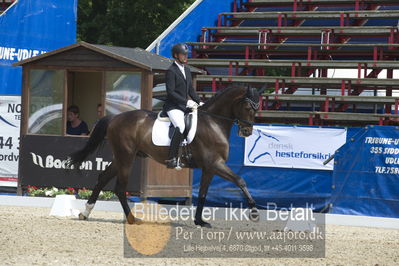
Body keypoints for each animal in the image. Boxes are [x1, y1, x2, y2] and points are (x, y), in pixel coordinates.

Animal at [69, 84, 262, 228]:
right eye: (247, 107)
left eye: (257, 108)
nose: (247, 132)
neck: (213, 123)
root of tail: (115, 118)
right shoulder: (215, 164)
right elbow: (240, 180)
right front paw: (254, 212)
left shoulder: (209, 168)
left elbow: (203, 194)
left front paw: (199, 221)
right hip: (126, 157)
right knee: (119, 188)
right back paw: (132, 219)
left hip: (123, 157)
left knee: (103, 178)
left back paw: (85, 213)